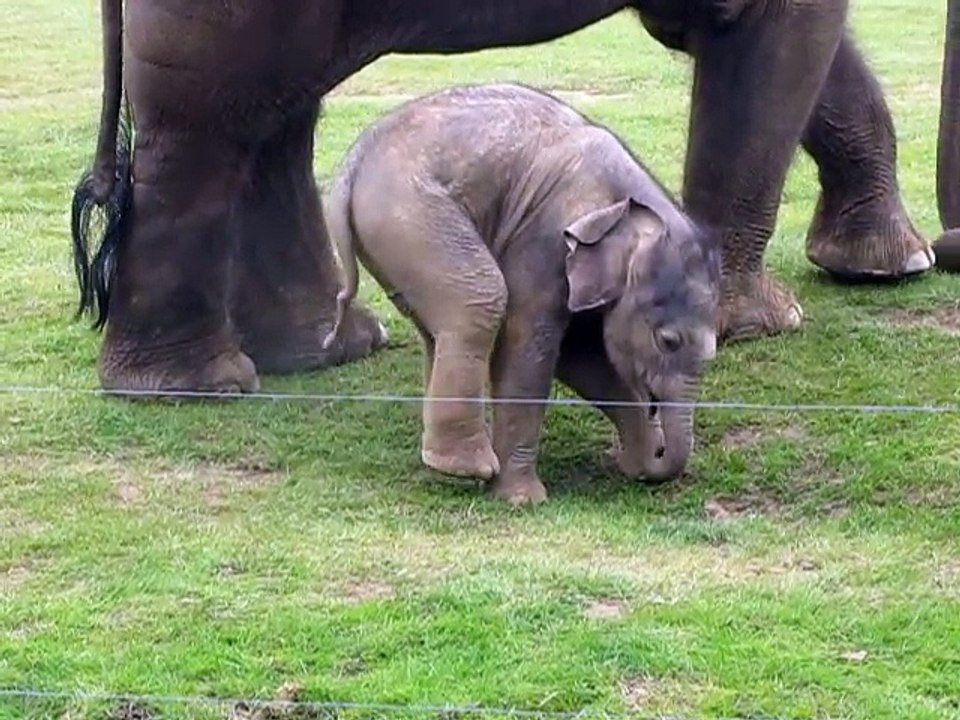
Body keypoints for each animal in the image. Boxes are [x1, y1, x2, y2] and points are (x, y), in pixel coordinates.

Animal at [71, 0, 950, 394]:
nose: (950, 249)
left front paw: (886, 268)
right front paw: (760, 325)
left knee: (272, 117)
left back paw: (326, 351)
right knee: (211, 126)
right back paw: (203, 385)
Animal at [321, 82, 719, 504]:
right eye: (668, 341)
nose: (659, 454)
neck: (632, 206)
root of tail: (354, 160)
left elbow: (582, 356)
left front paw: (638, 461)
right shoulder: (543, 240)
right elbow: (531, 346)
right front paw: (523, 499)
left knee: (439, 327)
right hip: (408, 215)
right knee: (482, 300)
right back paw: (467, 468)